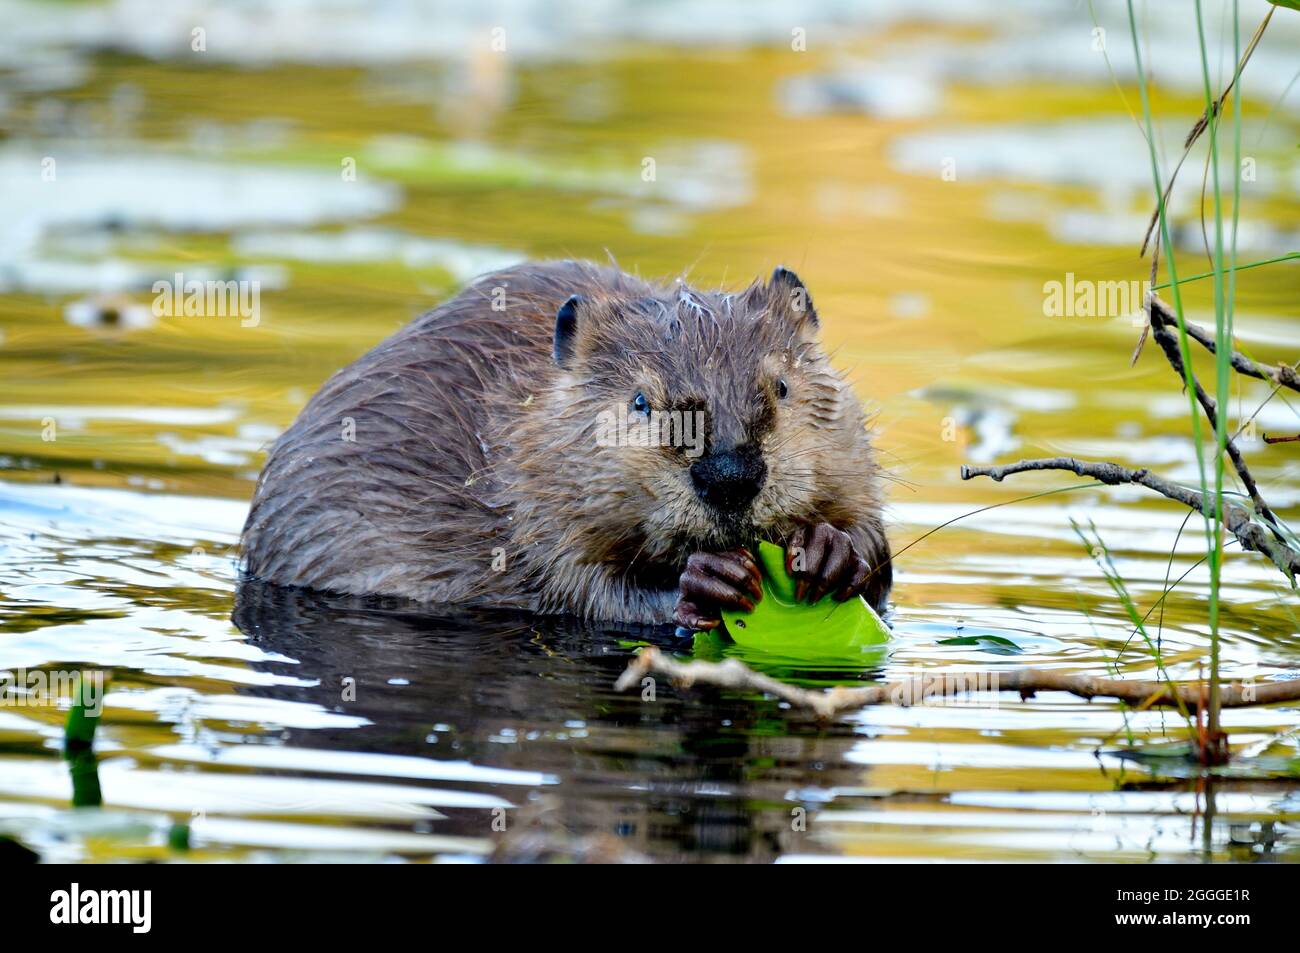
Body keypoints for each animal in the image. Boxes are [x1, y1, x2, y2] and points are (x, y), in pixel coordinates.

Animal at [241, 262, 894, 631]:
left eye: (781, 386)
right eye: (640, 401)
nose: (730, 474)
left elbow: (878, 547)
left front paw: (832, 551)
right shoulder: (534, 500)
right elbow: (587, 592)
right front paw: (707, 581)